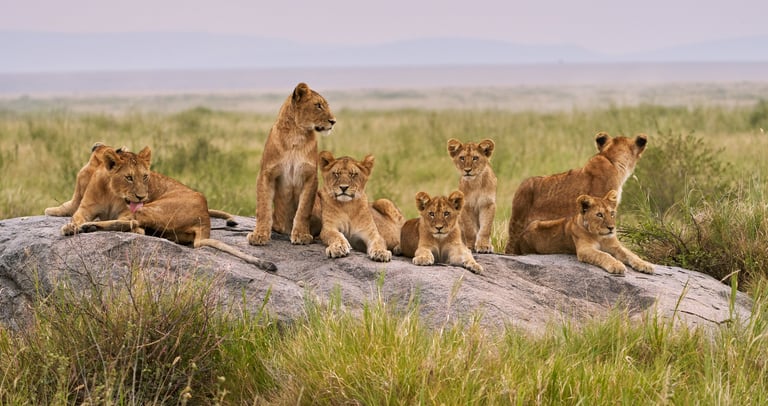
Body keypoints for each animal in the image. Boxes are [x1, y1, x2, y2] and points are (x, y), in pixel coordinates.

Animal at [61, 146, 276, 272]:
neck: (111, 191)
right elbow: (76, 217)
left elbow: (126, 221)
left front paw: (80, 227)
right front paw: (70, 227)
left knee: (133, 226)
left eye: (145, 176)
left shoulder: (127, 210)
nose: (142, 196)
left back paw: (90, 227)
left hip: (151, 209)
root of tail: (205, 220)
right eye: (129, 177)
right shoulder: (85, 209)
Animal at [247, 82, 336, 246]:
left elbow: (304, 209)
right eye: (318, 105)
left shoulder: (310, 176)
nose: (333, 121)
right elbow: (263, 208)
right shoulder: (266, 174)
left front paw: (301, 235)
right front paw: (259, 235)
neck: (296, 135)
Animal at [517, 190, 655, 275]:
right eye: (599, 215)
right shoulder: (584, 250)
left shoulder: (615, 246)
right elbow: (604, 255)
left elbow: (631, 254)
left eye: (612, 213)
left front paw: (646, 265)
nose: (611, 228)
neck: (600, 237)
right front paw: (617, 266)